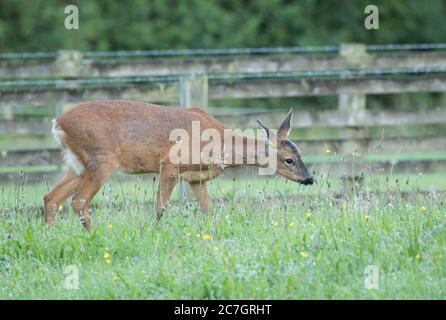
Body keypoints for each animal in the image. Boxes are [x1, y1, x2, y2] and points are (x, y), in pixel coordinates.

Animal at [43, 101, 312, 229]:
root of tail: (58, 122)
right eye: (289, 160)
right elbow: (161, 208)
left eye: (301, 154)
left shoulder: (195, 179)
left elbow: (208, 210)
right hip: (101, 160)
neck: (221, 143)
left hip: (78, 165)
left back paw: (51, 237)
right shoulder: (170, 164)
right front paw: (154, 232)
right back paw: (95, 235)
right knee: (78, 201)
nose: (309, 178)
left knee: (51, 198)